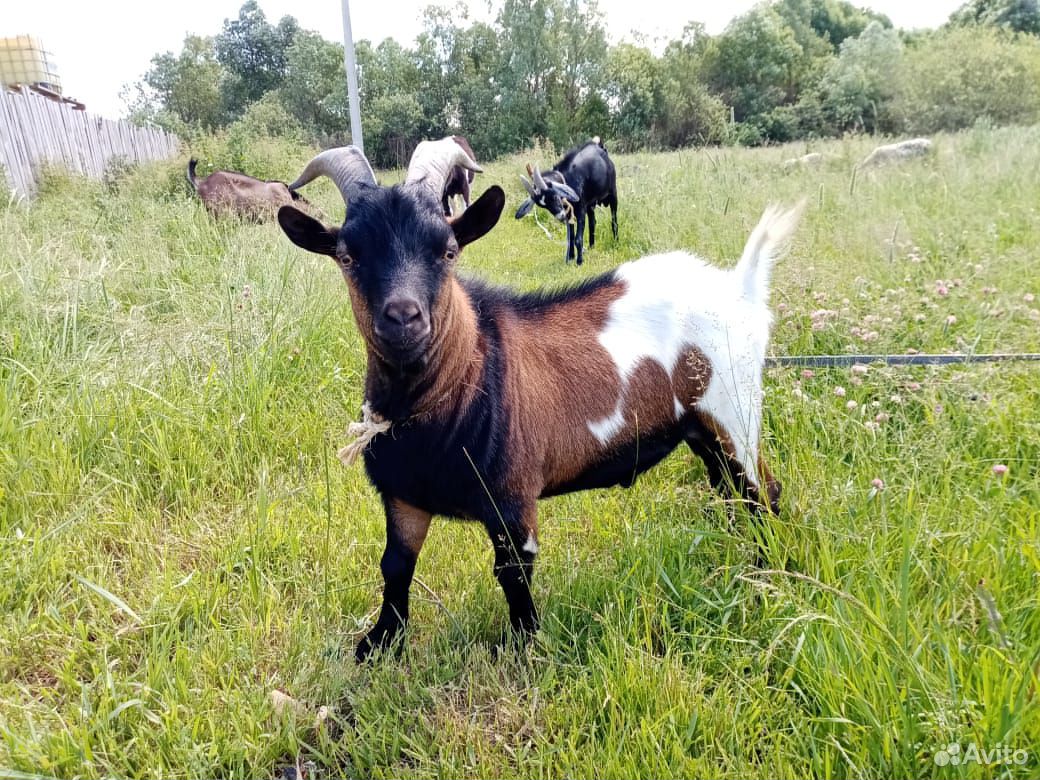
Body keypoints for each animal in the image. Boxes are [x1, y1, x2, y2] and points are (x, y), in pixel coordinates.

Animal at [513, 137, 615, 266]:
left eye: (554, 196)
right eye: (543, 206)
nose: (560, 217)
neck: (568, 179)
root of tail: (599, 146)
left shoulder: (580, 210)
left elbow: (577, 238)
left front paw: (579, 261)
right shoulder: (569, 212)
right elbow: (570, 237)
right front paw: (570, 258)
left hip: (613, 193)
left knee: (614, 221)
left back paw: (616, 240)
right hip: (590, 204)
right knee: (593, 222)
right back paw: (591, 247)